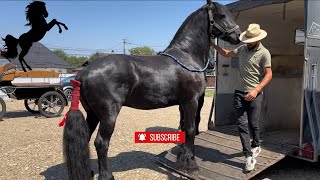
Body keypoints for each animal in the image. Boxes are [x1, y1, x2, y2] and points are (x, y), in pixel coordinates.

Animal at [62, 0, 240, 179]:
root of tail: (83, 72)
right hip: (108, 115)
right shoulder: (191, 101)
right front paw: (191, 165)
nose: (238, 36)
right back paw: (106, 175)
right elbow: (190, 130)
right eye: (222, 15)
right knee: (101, 142)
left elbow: (183, 129)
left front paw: (182, 159)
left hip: (92, 113)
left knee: (86, 138)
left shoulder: (183, 104)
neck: (187, 56)